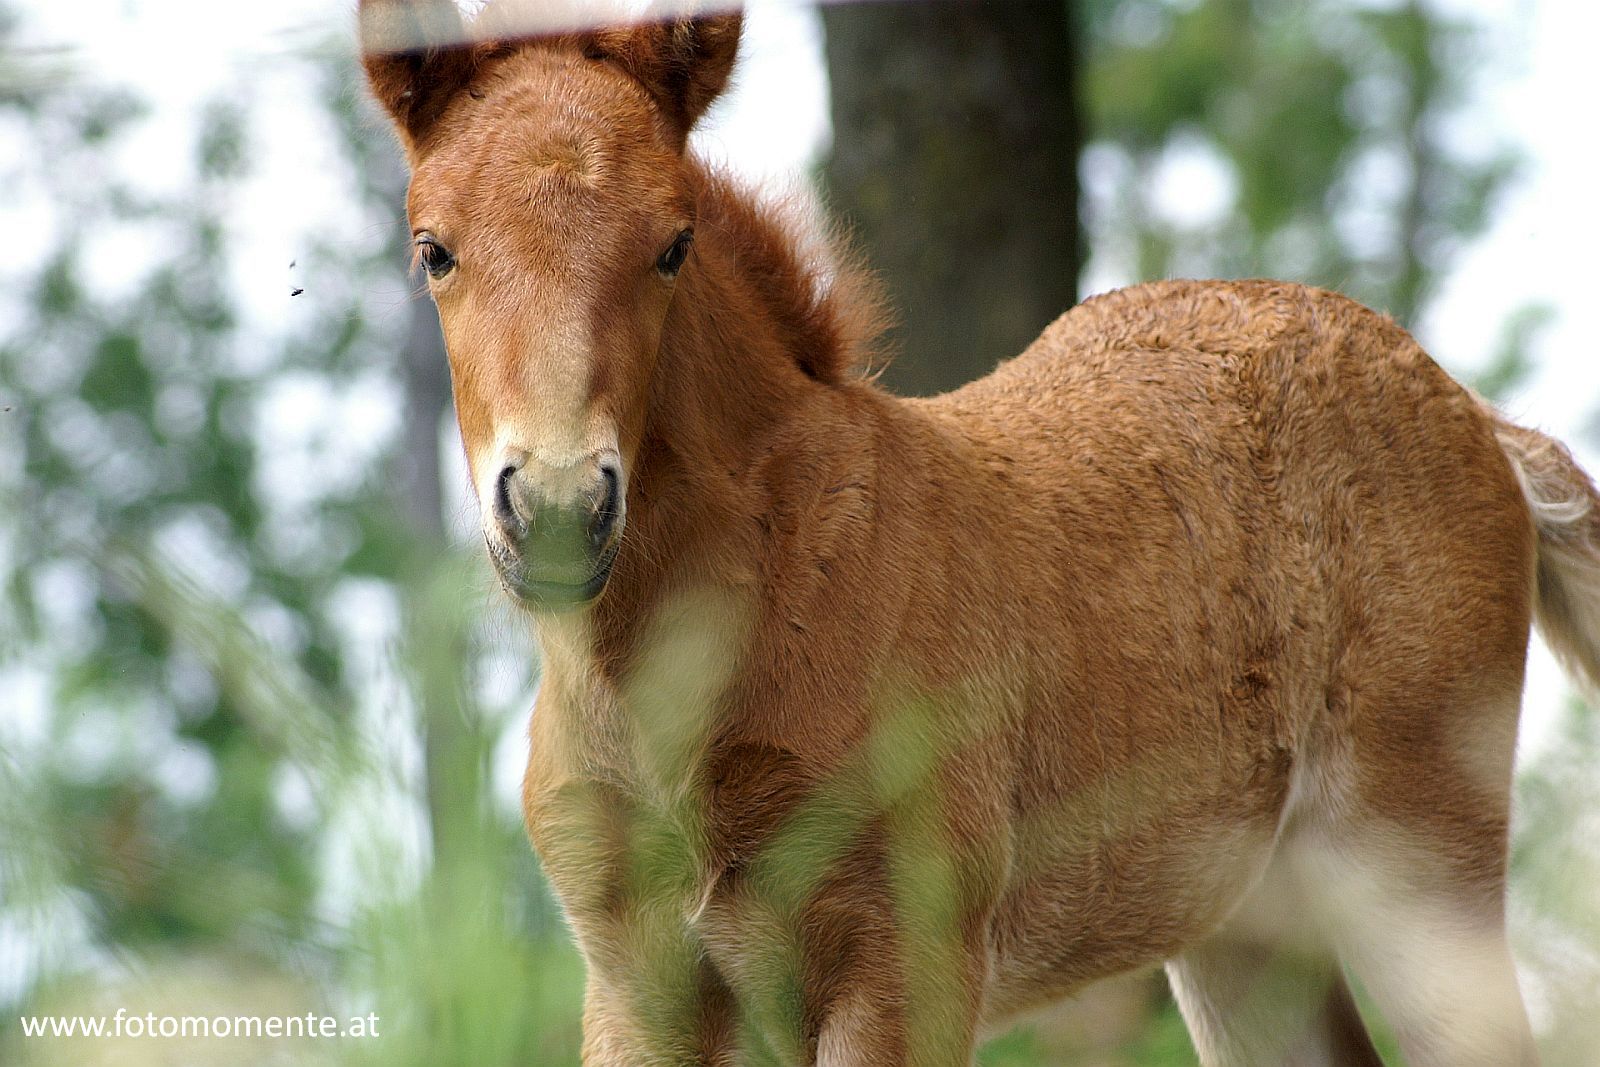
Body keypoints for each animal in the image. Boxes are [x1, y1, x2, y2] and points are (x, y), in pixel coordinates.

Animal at [363, 4, 1600, 1062]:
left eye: (673, 242)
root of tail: (1476, 414)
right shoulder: (639, 988)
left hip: (1415, 869)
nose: (559, 507)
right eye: (433, 247)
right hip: (1240, 923)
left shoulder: (901, 966)